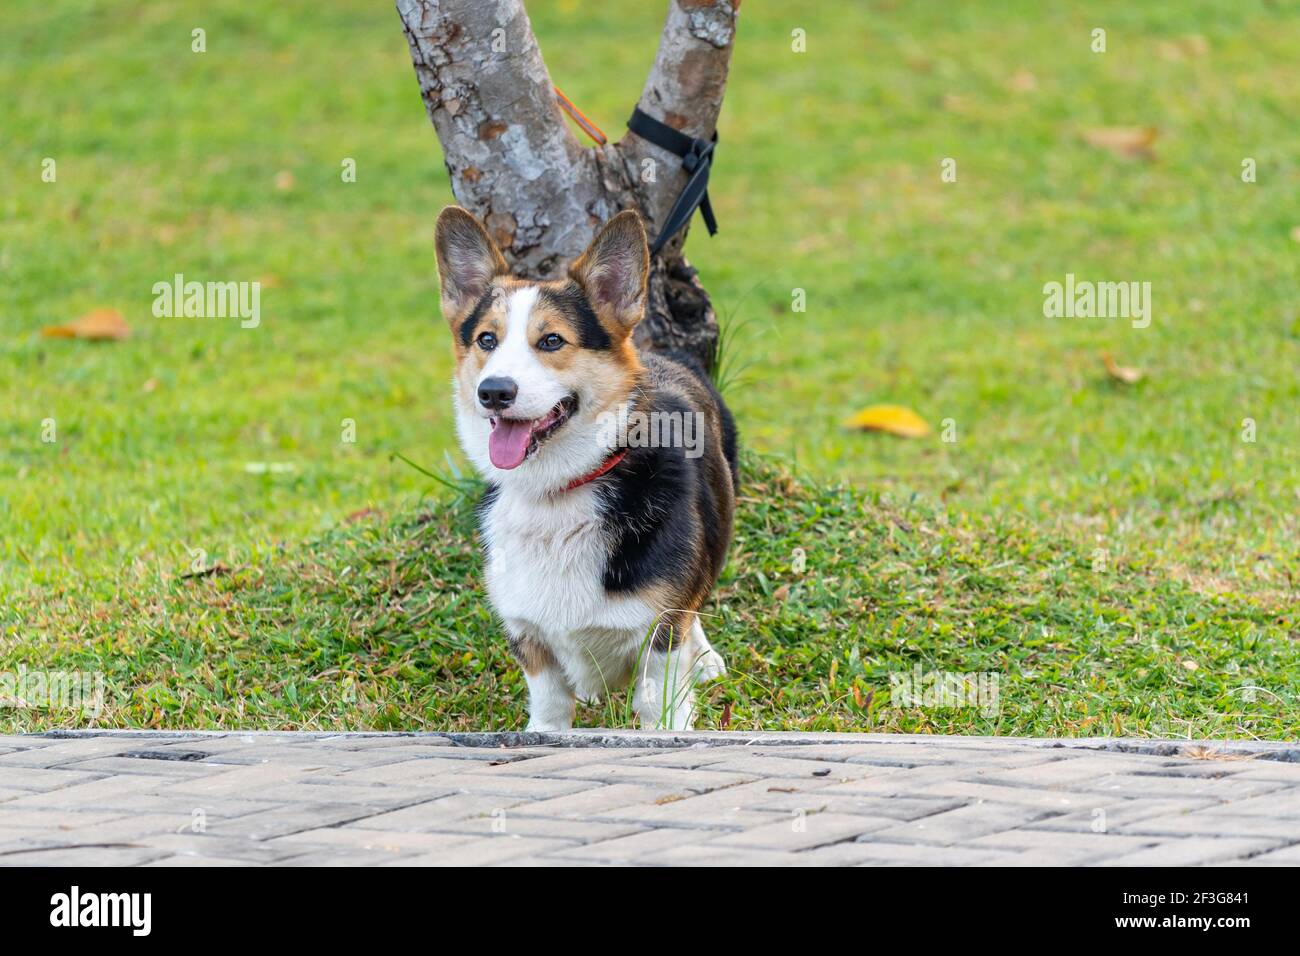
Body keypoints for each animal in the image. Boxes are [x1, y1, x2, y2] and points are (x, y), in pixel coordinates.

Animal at [436, 208, 738, 733]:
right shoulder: (529, 635)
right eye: (486, 340)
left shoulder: (660, 636)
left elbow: (659, 706)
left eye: (552, 340)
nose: (493, 392)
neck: (558, 489)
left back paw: (705, 658)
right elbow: (550, 705)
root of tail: (665, 354)